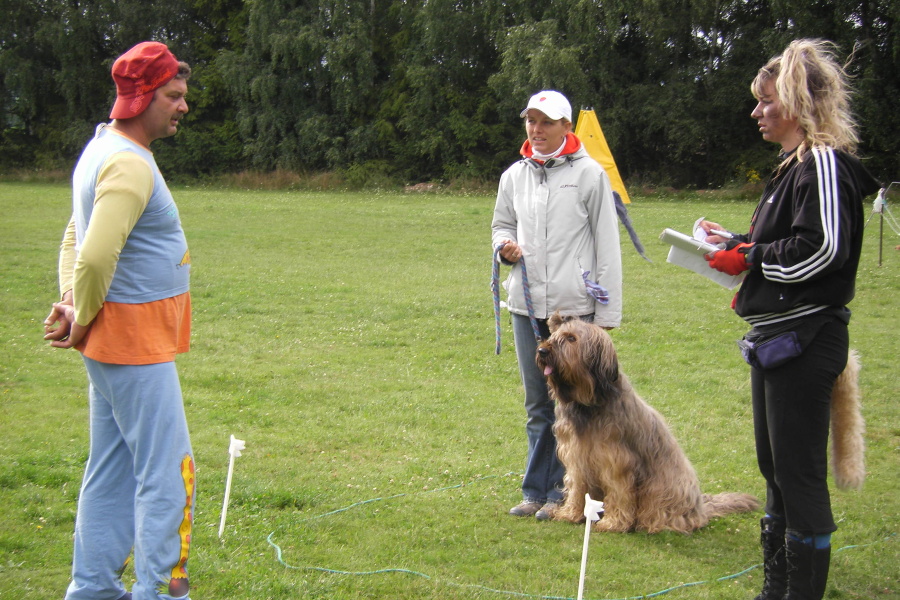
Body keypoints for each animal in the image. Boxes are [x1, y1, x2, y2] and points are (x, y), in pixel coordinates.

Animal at [536, 314, 760, 536]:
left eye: (571, 338)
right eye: (554, 336)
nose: (542, 350)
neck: (588, 403)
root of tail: (702, 508)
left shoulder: (616, 462)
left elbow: (618, 493)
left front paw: (613, 523)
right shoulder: (576, 458)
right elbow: (577, 488)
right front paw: (571, 514)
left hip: (661, 489)